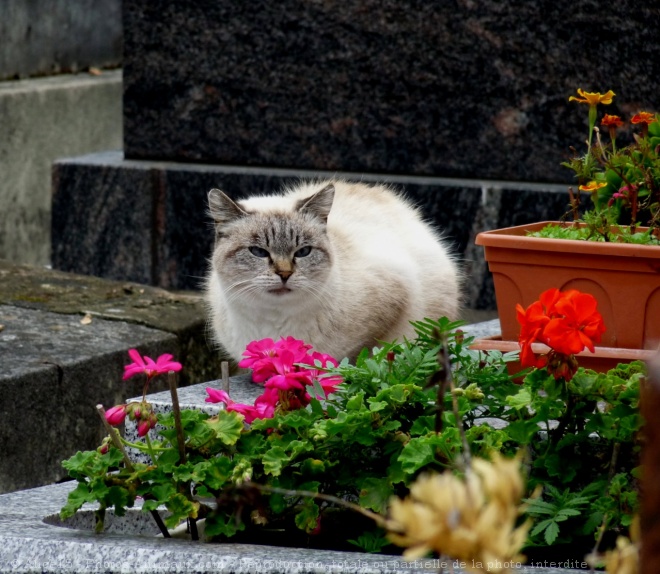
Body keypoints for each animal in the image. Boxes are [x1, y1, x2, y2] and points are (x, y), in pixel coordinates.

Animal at [205, 180, 458, 362]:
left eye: (303, 251)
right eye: (258, 252)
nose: (285, 274)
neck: (274, 320)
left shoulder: (394, 298)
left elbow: (360, 355)